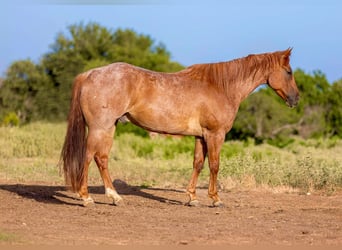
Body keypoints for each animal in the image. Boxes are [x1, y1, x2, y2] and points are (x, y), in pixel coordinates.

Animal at [60, 48, 300, 207]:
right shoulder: (215, 135)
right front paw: (215, 199)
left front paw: (192, 197)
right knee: (88, 157)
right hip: (99, 128)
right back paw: (86, 197)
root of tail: (90, 74)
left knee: (102, 159)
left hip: (109, 128)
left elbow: (198, 164)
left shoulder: (201, 136)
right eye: (288, 71)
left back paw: (114, 197)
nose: (296, 99)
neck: (220, 87)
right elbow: (214, 165)